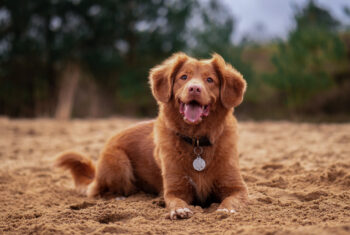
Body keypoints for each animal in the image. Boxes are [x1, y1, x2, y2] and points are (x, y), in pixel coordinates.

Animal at [56, 52, 247, 219]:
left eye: (210, 80)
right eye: (184, 77)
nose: (194, 88)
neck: (197, 141)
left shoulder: (237, 187)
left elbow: (231, 200)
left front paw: (225, 210)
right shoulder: (174, 190)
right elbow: (175, 201)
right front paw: (179, 210)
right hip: (119, 162)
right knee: (99, 192)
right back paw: (120, 197)